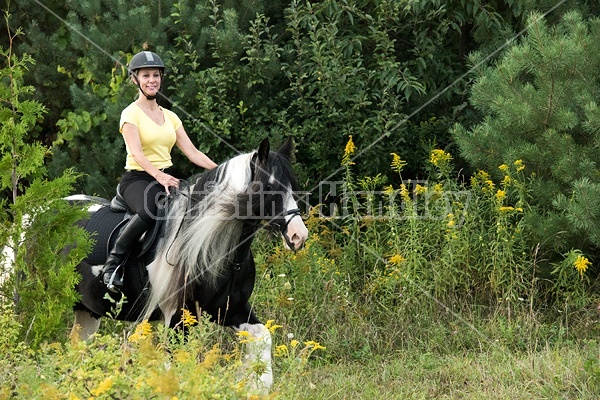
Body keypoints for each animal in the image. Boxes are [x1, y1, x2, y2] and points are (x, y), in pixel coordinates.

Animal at [68, 137, 308, 390]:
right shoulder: (177, 317)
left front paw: (257, 386)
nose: (298, 235)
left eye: (292, 185)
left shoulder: (233, 308)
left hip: (86, 311)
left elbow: (263, 337)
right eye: (269, 186)